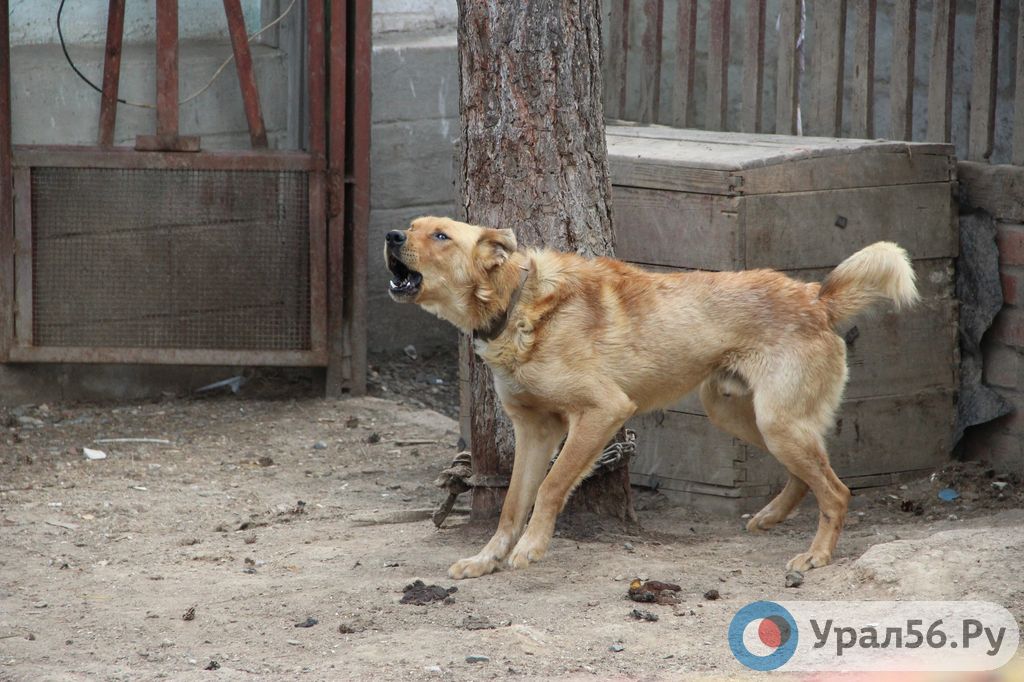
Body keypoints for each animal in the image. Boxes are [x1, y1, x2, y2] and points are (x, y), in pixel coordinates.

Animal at [385, 215, 921, 577]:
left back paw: (817, 554)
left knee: (837, 490)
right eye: (412, 227)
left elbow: (551, 487)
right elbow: (513, 503)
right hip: (739, 414)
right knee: (811, 473)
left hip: (776, 423)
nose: (390, 235)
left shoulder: (602, 412)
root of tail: (817, 298)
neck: (517, 303)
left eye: (440, 236)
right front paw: (486, 558)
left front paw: (532, 547)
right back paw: (773, 515)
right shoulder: (535, 430)